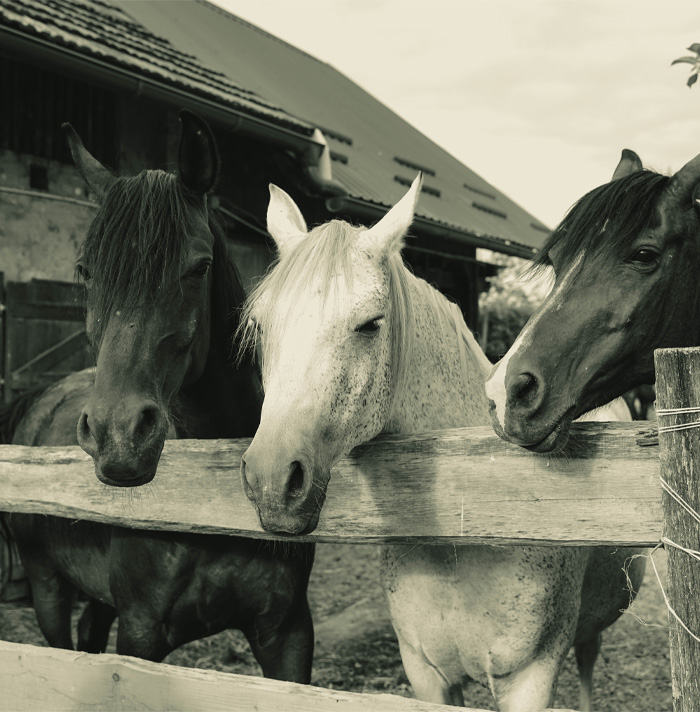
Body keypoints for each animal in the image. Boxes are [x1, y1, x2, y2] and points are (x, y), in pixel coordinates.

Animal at [3, 111, 314, 680]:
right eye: (85, 270)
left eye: (199, 267)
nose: (118, 436)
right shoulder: (142, 632)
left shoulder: (287, 633)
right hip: (48, 588)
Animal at [235, 175, 643, 710]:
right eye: (261, 325)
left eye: (371, 323)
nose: (272, 480)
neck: (463, 534)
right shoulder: (427, 672)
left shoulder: (530, 678)